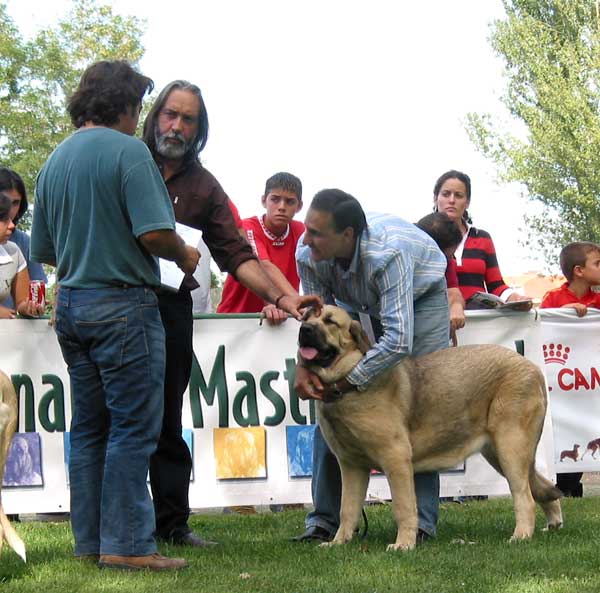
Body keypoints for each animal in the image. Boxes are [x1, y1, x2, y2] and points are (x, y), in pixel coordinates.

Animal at [298, 306, 564, 552]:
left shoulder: (395, 458)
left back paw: (521, 536)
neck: (344, 388)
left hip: (511, 448)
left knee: (524, 497)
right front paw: (338, 542)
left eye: (329, 321)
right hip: (500, 453)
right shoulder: (351, 466)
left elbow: (403, 507)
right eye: (306, 317)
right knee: (540, 488)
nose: (305, 329)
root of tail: (533, 368)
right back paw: (552, 524)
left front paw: (403, 544)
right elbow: (347, 509)